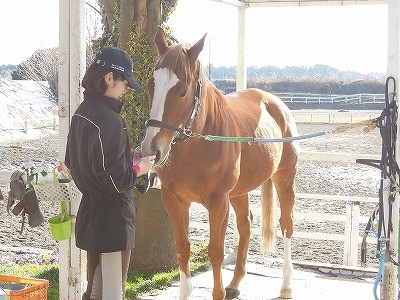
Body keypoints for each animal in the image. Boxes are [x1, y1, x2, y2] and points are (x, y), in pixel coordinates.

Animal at [142, 26, 298, 300]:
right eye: (152, 85)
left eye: (183, 91)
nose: (152, 150)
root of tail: (275, 102)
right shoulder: (174, 201)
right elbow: (182, 249)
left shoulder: (218, 202)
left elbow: (215, 252)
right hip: (239, 191)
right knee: (246, 224)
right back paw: (235, 283)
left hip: (284, 179)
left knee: (286, 225)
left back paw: (286, 285)